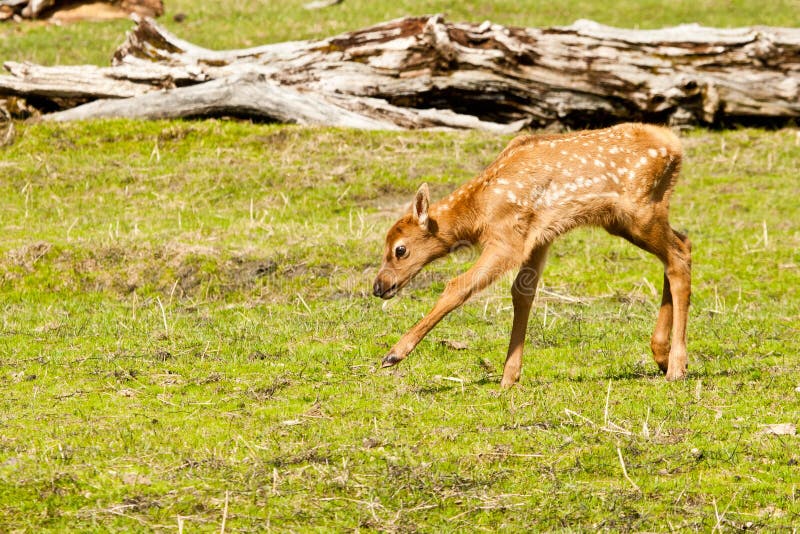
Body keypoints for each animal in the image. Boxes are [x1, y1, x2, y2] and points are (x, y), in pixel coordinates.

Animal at [372, 123, 692, 388]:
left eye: (400, 249)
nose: (379, 286)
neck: (478, 214)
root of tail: (674, 145)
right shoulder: (539, 237)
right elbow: (522, 293)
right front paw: (509, 376)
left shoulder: (507, 239)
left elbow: (458, 286)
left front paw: (393, 354)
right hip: (632, 217)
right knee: (683, 245)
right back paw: (661, 355)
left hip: (640, 212)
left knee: (677, 258)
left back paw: (676, 366)